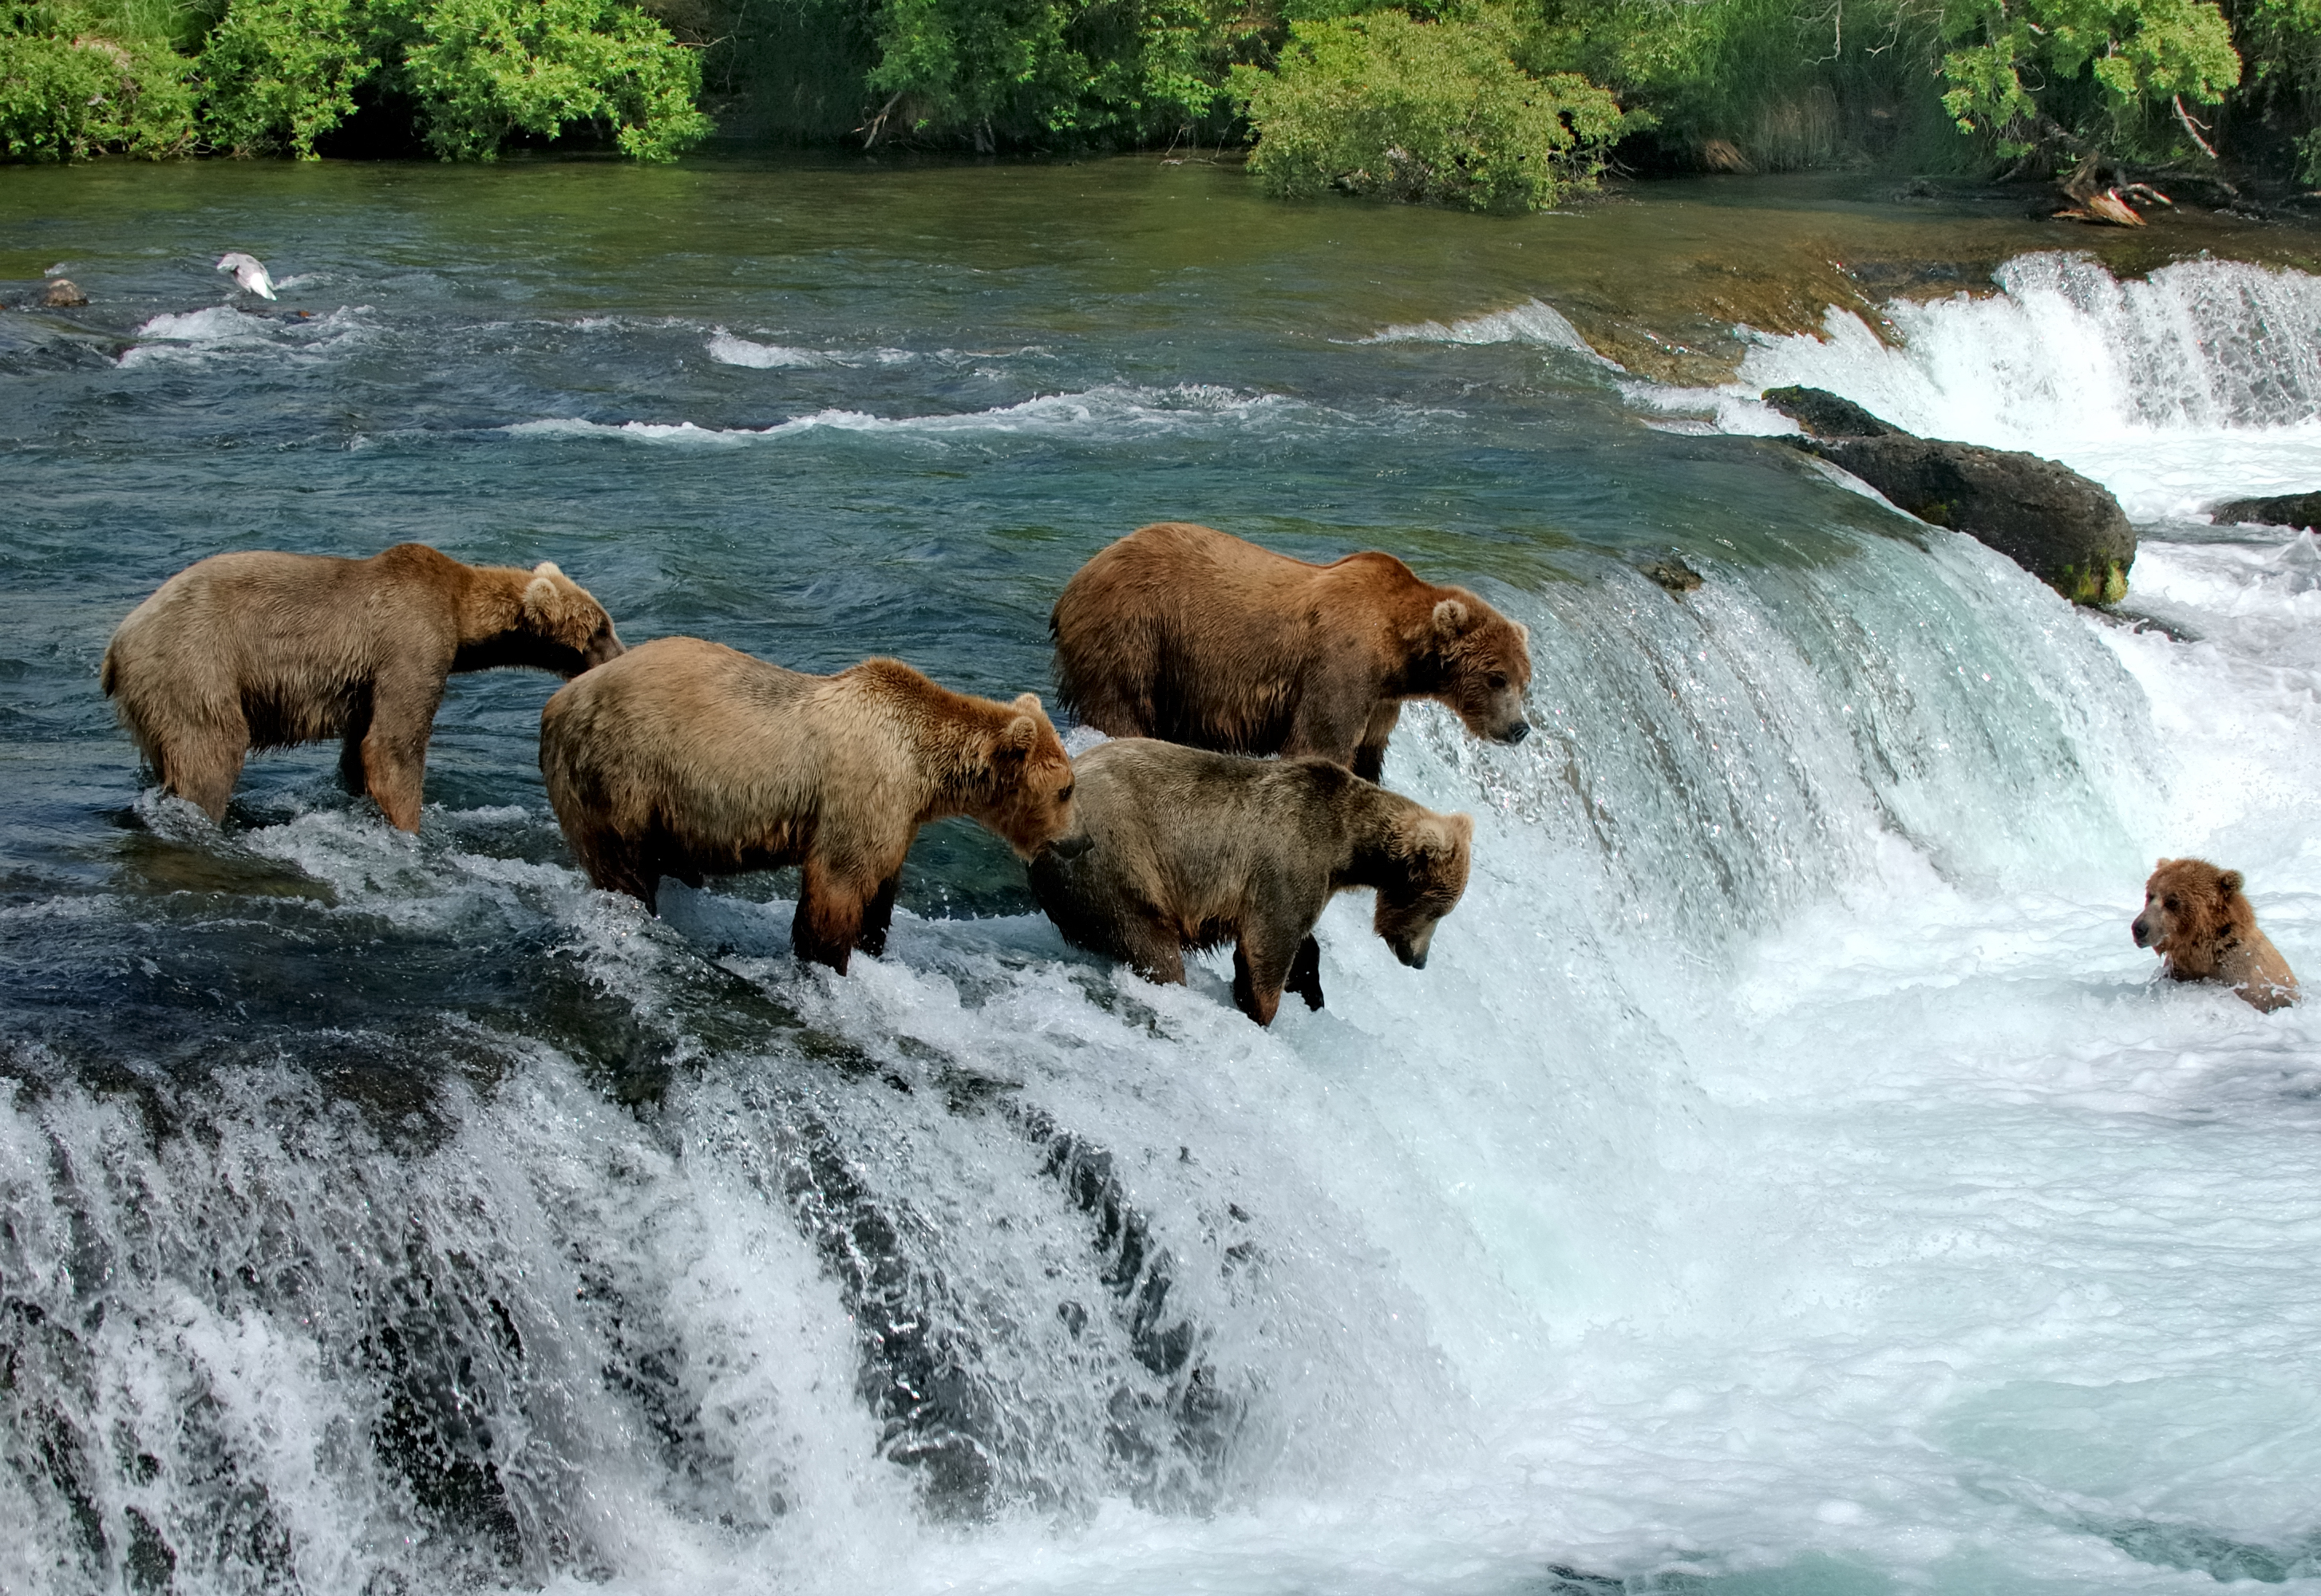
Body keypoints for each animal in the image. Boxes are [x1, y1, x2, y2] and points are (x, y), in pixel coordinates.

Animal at [102, 542, 623, 833]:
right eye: (600, 628)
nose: (622, 654)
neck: (462, 618)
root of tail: (117, 644)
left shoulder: (363, 684)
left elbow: (359, 749)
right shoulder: (410, 640)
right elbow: (394, 743)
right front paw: (410, 828)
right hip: (195, 666)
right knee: (210, 751)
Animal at [538, 635, 1077, 974]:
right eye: (1068, 788)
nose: (1081, 842)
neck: (922, 769)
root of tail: (557, 703)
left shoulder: (898, 816)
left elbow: (880, 887)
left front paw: (872, 945)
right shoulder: (860, 792)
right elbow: (837, 886)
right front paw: (828, 962)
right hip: (618, 772)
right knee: (622, 866)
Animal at [1026, 737, 1474, 1027]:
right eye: (1437, 909)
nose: (1419, 959)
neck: (1348, 846)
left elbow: (1300, 943)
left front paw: (1309, 990)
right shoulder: (1289, 861)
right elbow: (1269, 946)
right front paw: (1260, 1009)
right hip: (1115, 861)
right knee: (1150, 943)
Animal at [1049, 522, 1534, 785]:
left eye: (1524, 681)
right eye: (1496, 678)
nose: (1519, 728)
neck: (1399, 654)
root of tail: (1079, 575)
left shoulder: (1381, 702)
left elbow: (1368, 755)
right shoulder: (1342, 666)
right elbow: (1320, 742)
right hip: (1135, 632)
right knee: (1121, 706)